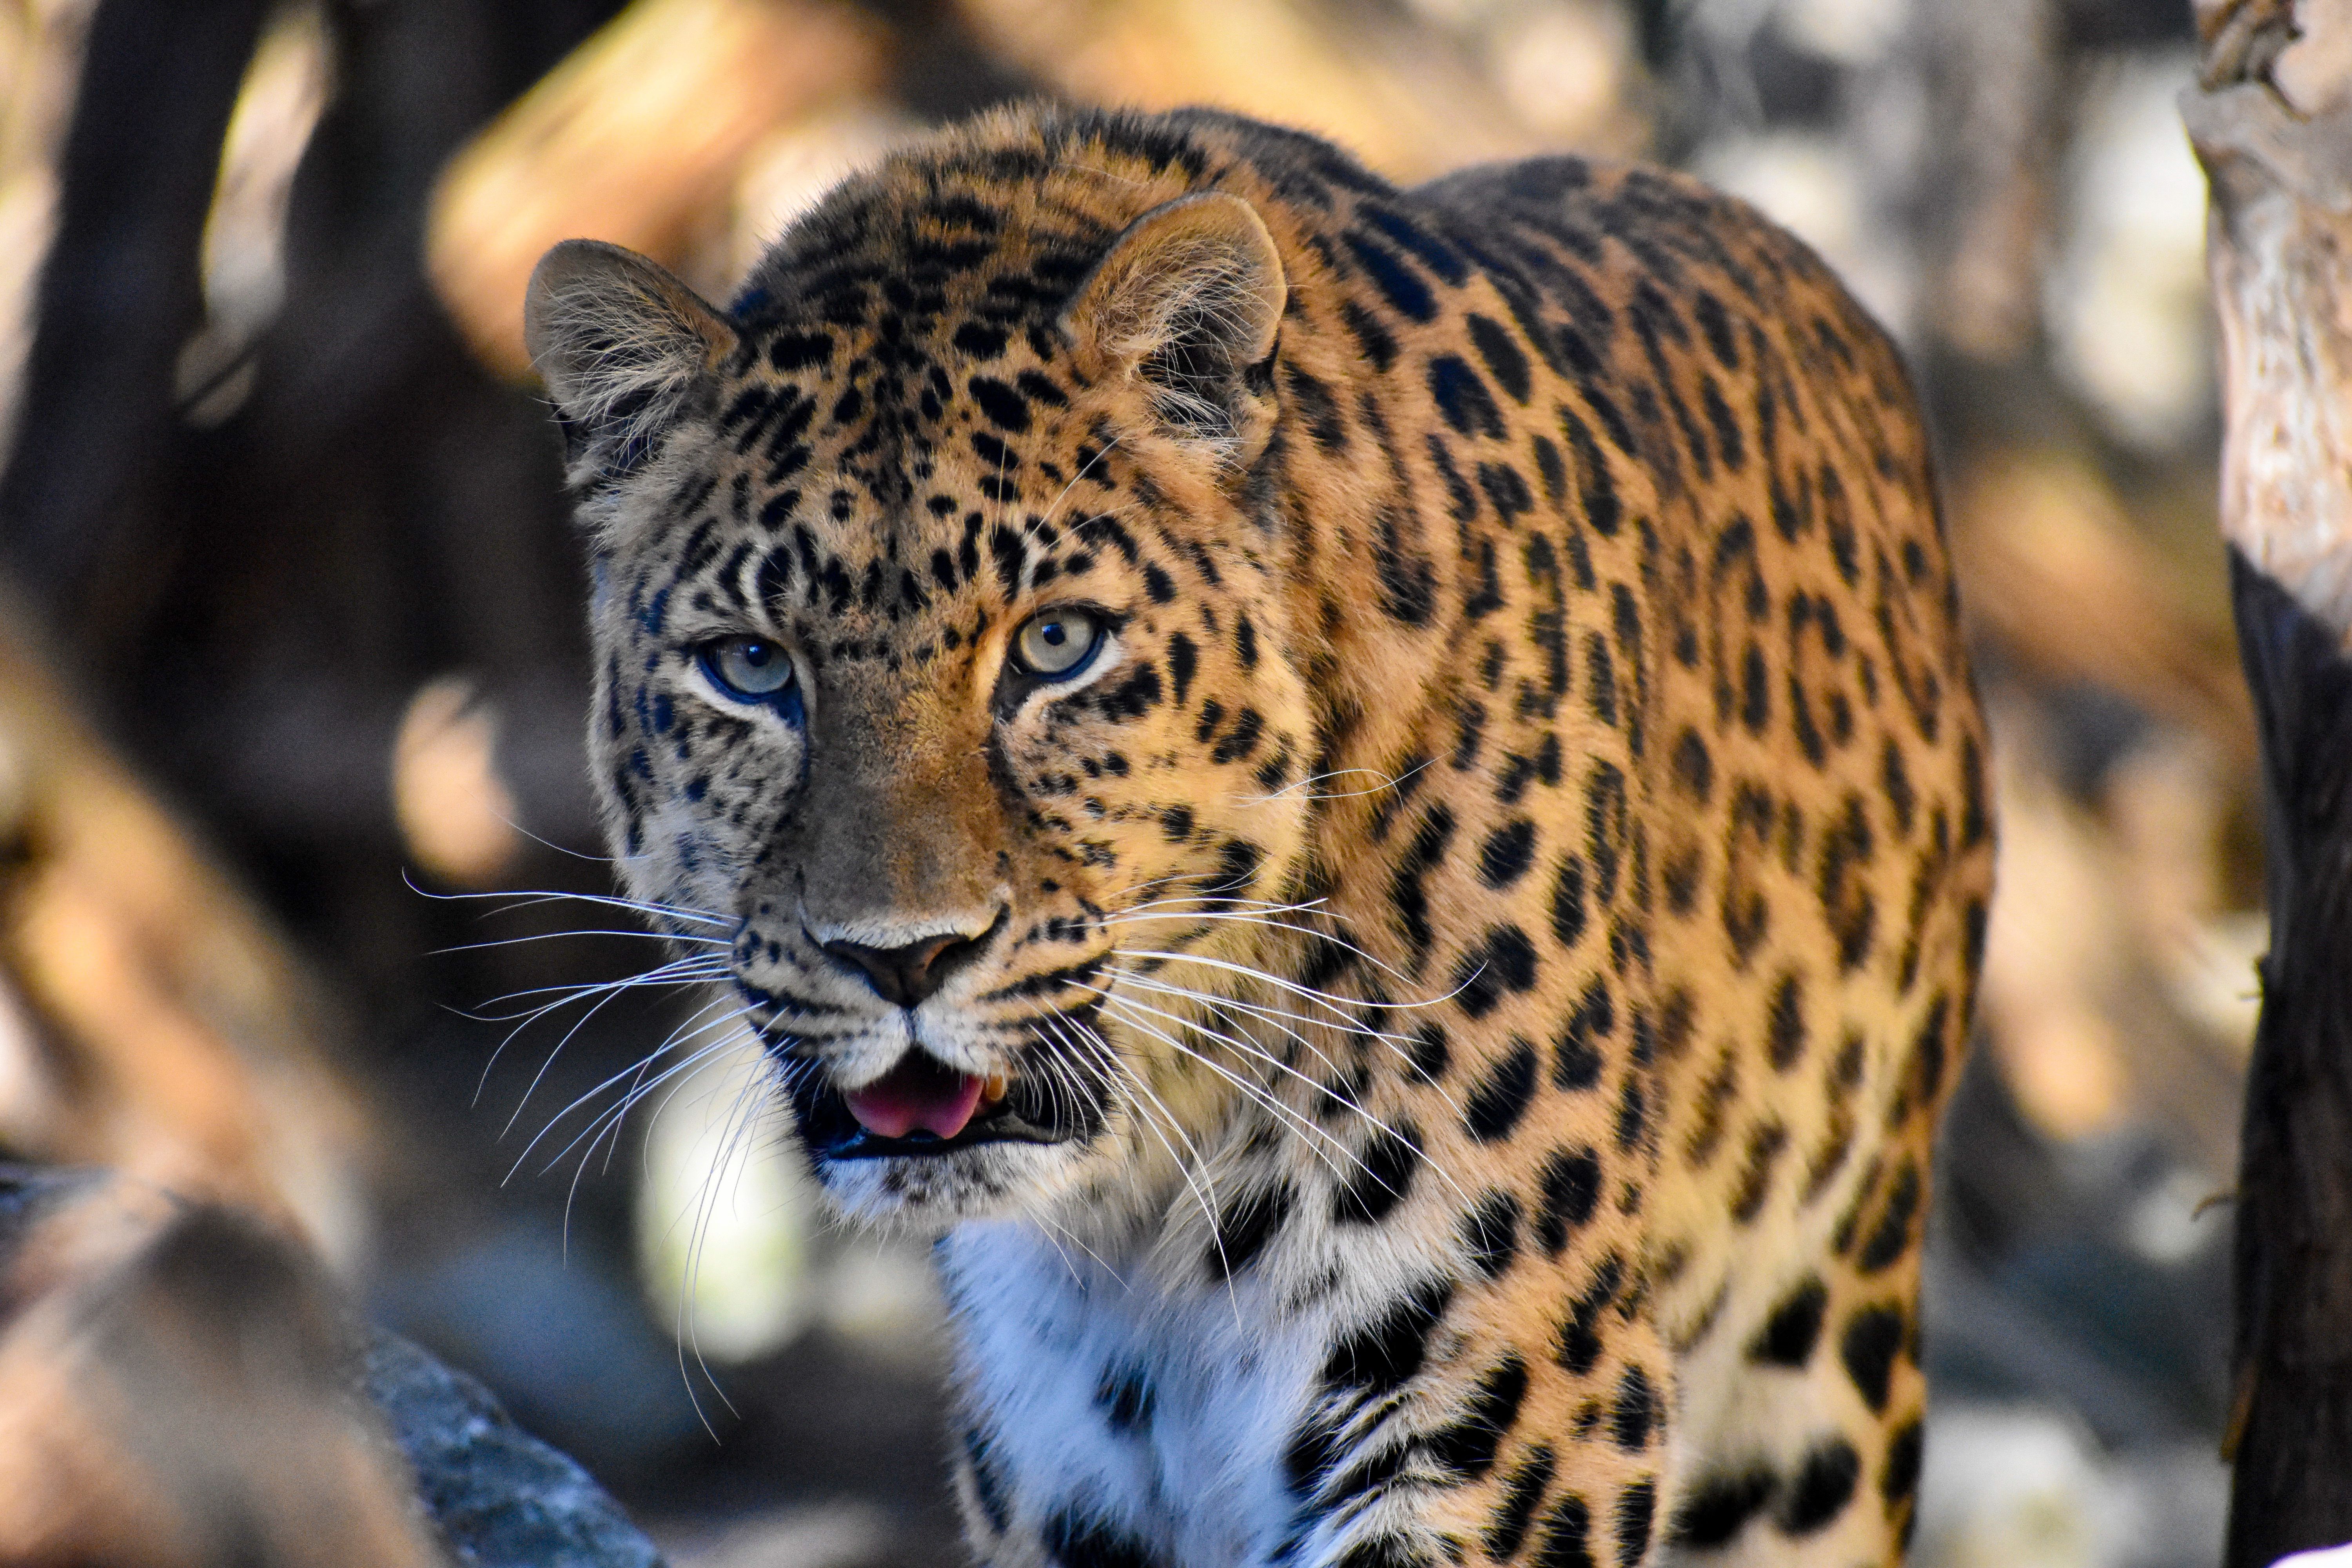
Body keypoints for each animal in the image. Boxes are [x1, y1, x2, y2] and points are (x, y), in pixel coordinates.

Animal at [522, 102, 1991, 1568]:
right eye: (751, 666)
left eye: (1055, 646)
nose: (903, 958)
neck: (1146, 1202)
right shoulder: (1062, 1465)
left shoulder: (1503, 1402)